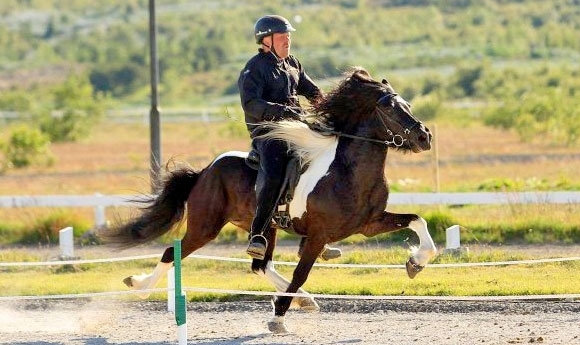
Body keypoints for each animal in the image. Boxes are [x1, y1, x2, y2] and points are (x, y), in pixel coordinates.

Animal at [102, 66, 438, 332]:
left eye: (407, 105)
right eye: (391, 109)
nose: (425, 137)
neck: (346, 171)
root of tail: (204, 171)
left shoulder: (369, 224)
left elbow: (418, 222)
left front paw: (415, 263)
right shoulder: (318, 235)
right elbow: (301, 272)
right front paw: (278, 318)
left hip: (266, 227)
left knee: (260, 265)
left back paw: (303, 300)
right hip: (206, 226)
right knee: (173, 253)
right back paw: (140, 287)